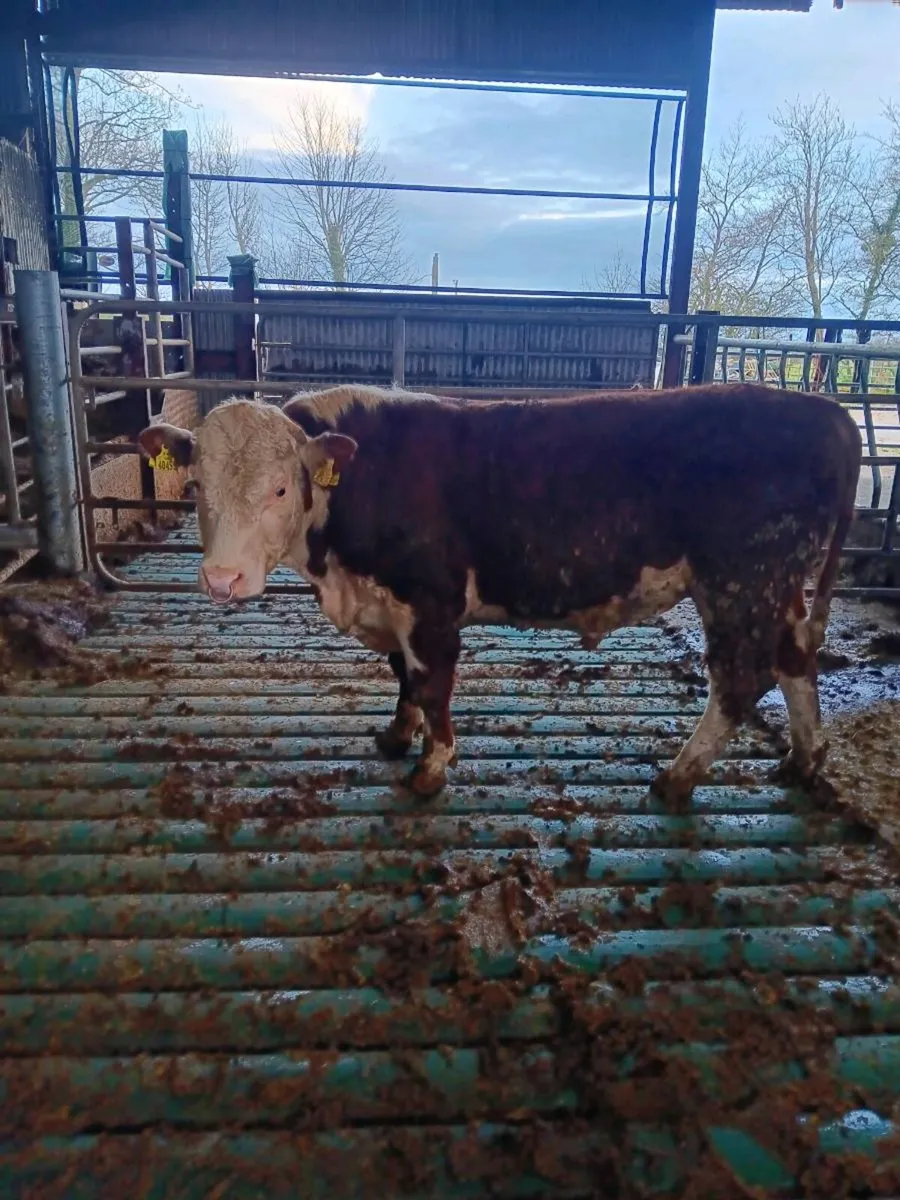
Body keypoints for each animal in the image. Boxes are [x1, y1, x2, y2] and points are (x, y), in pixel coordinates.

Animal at [137, 382, 861, 805]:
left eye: (282, 488)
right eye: (196, 486)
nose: (223, 579)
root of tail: (825, 412)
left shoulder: (431, 605)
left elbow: (432, 684)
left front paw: (430, 768)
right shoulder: (391, 607)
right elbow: (402, 676)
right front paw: (396, 735)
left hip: (742, 580)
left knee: (741, 678)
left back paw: (679, 776)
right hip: (776, 587)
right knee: (796, 661)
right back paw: (803, 760)